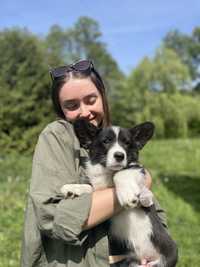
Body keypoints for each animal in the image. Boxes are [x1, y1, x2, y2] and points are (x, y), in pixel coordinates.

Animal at [61, 120, 178, 267]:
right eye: (106, 141)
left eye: (127, 143)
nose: (119, 156)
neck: (108, 172)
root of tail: (146, 257)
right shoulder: (98, 188)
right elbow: (89, 186)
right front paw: (71, 188)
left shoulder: (135, 168)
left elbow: (121, 173)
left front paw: (128, 196)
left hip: (170, 251)